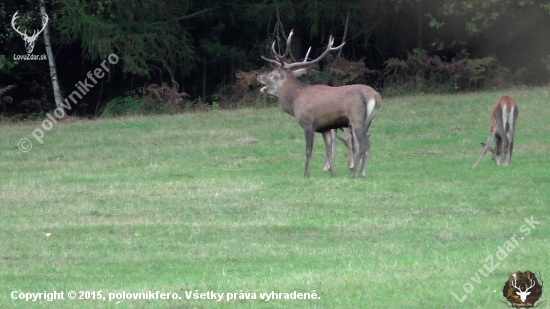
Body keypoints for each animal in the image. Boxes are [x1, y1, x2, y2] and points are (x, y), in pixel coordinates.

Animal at [258, 30, 382, 177]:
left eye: (271, 74)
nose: (258, 76)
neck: (295, 100)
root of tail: (375, 95)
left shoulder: (308, 123)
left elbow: (308, 150)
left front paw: (306, 174)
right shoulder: (325, 128)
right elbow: (328, 150)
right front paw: (333, 173)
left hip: (355, 118)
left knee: (363, 143)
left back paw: (353, 174)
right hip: (368, 121)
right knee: (365, 142)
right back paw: (362, 173)